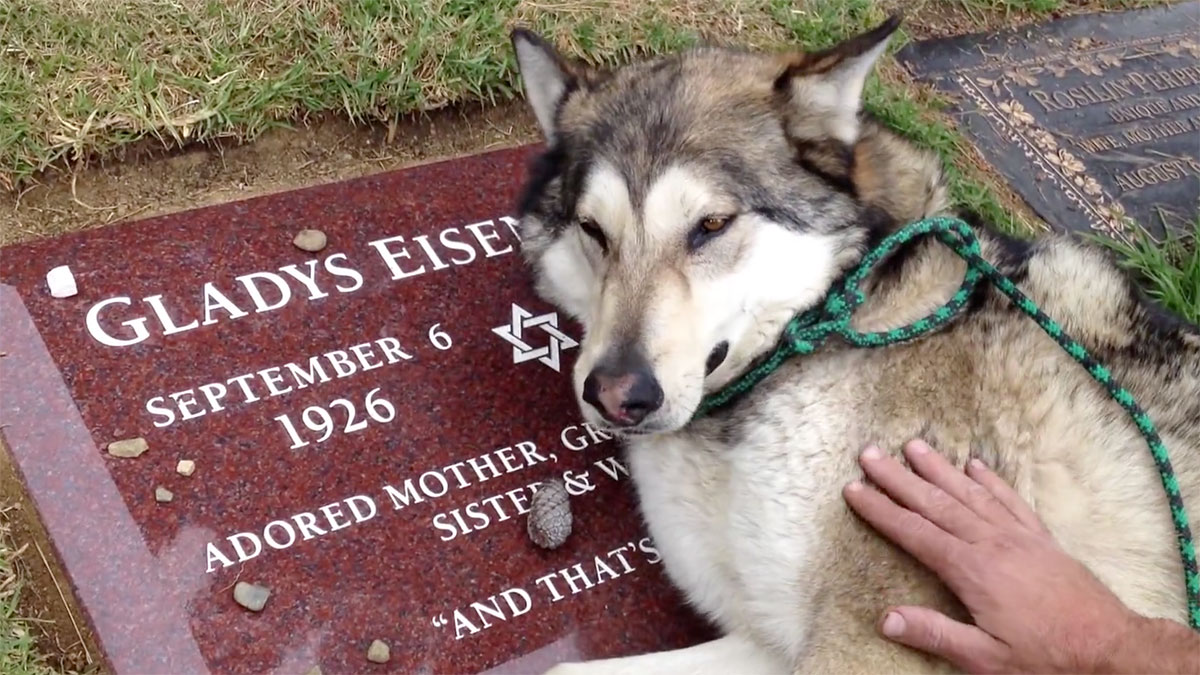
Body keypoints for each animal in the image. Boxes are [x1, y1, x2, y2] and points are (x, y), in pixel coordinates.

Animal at [506, 15, 1200, 672]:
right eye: (592, 229)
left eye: (712, 224)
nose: (614, 395)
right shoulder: (766, 641)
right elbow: (561, 668)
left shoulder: (868, 640)